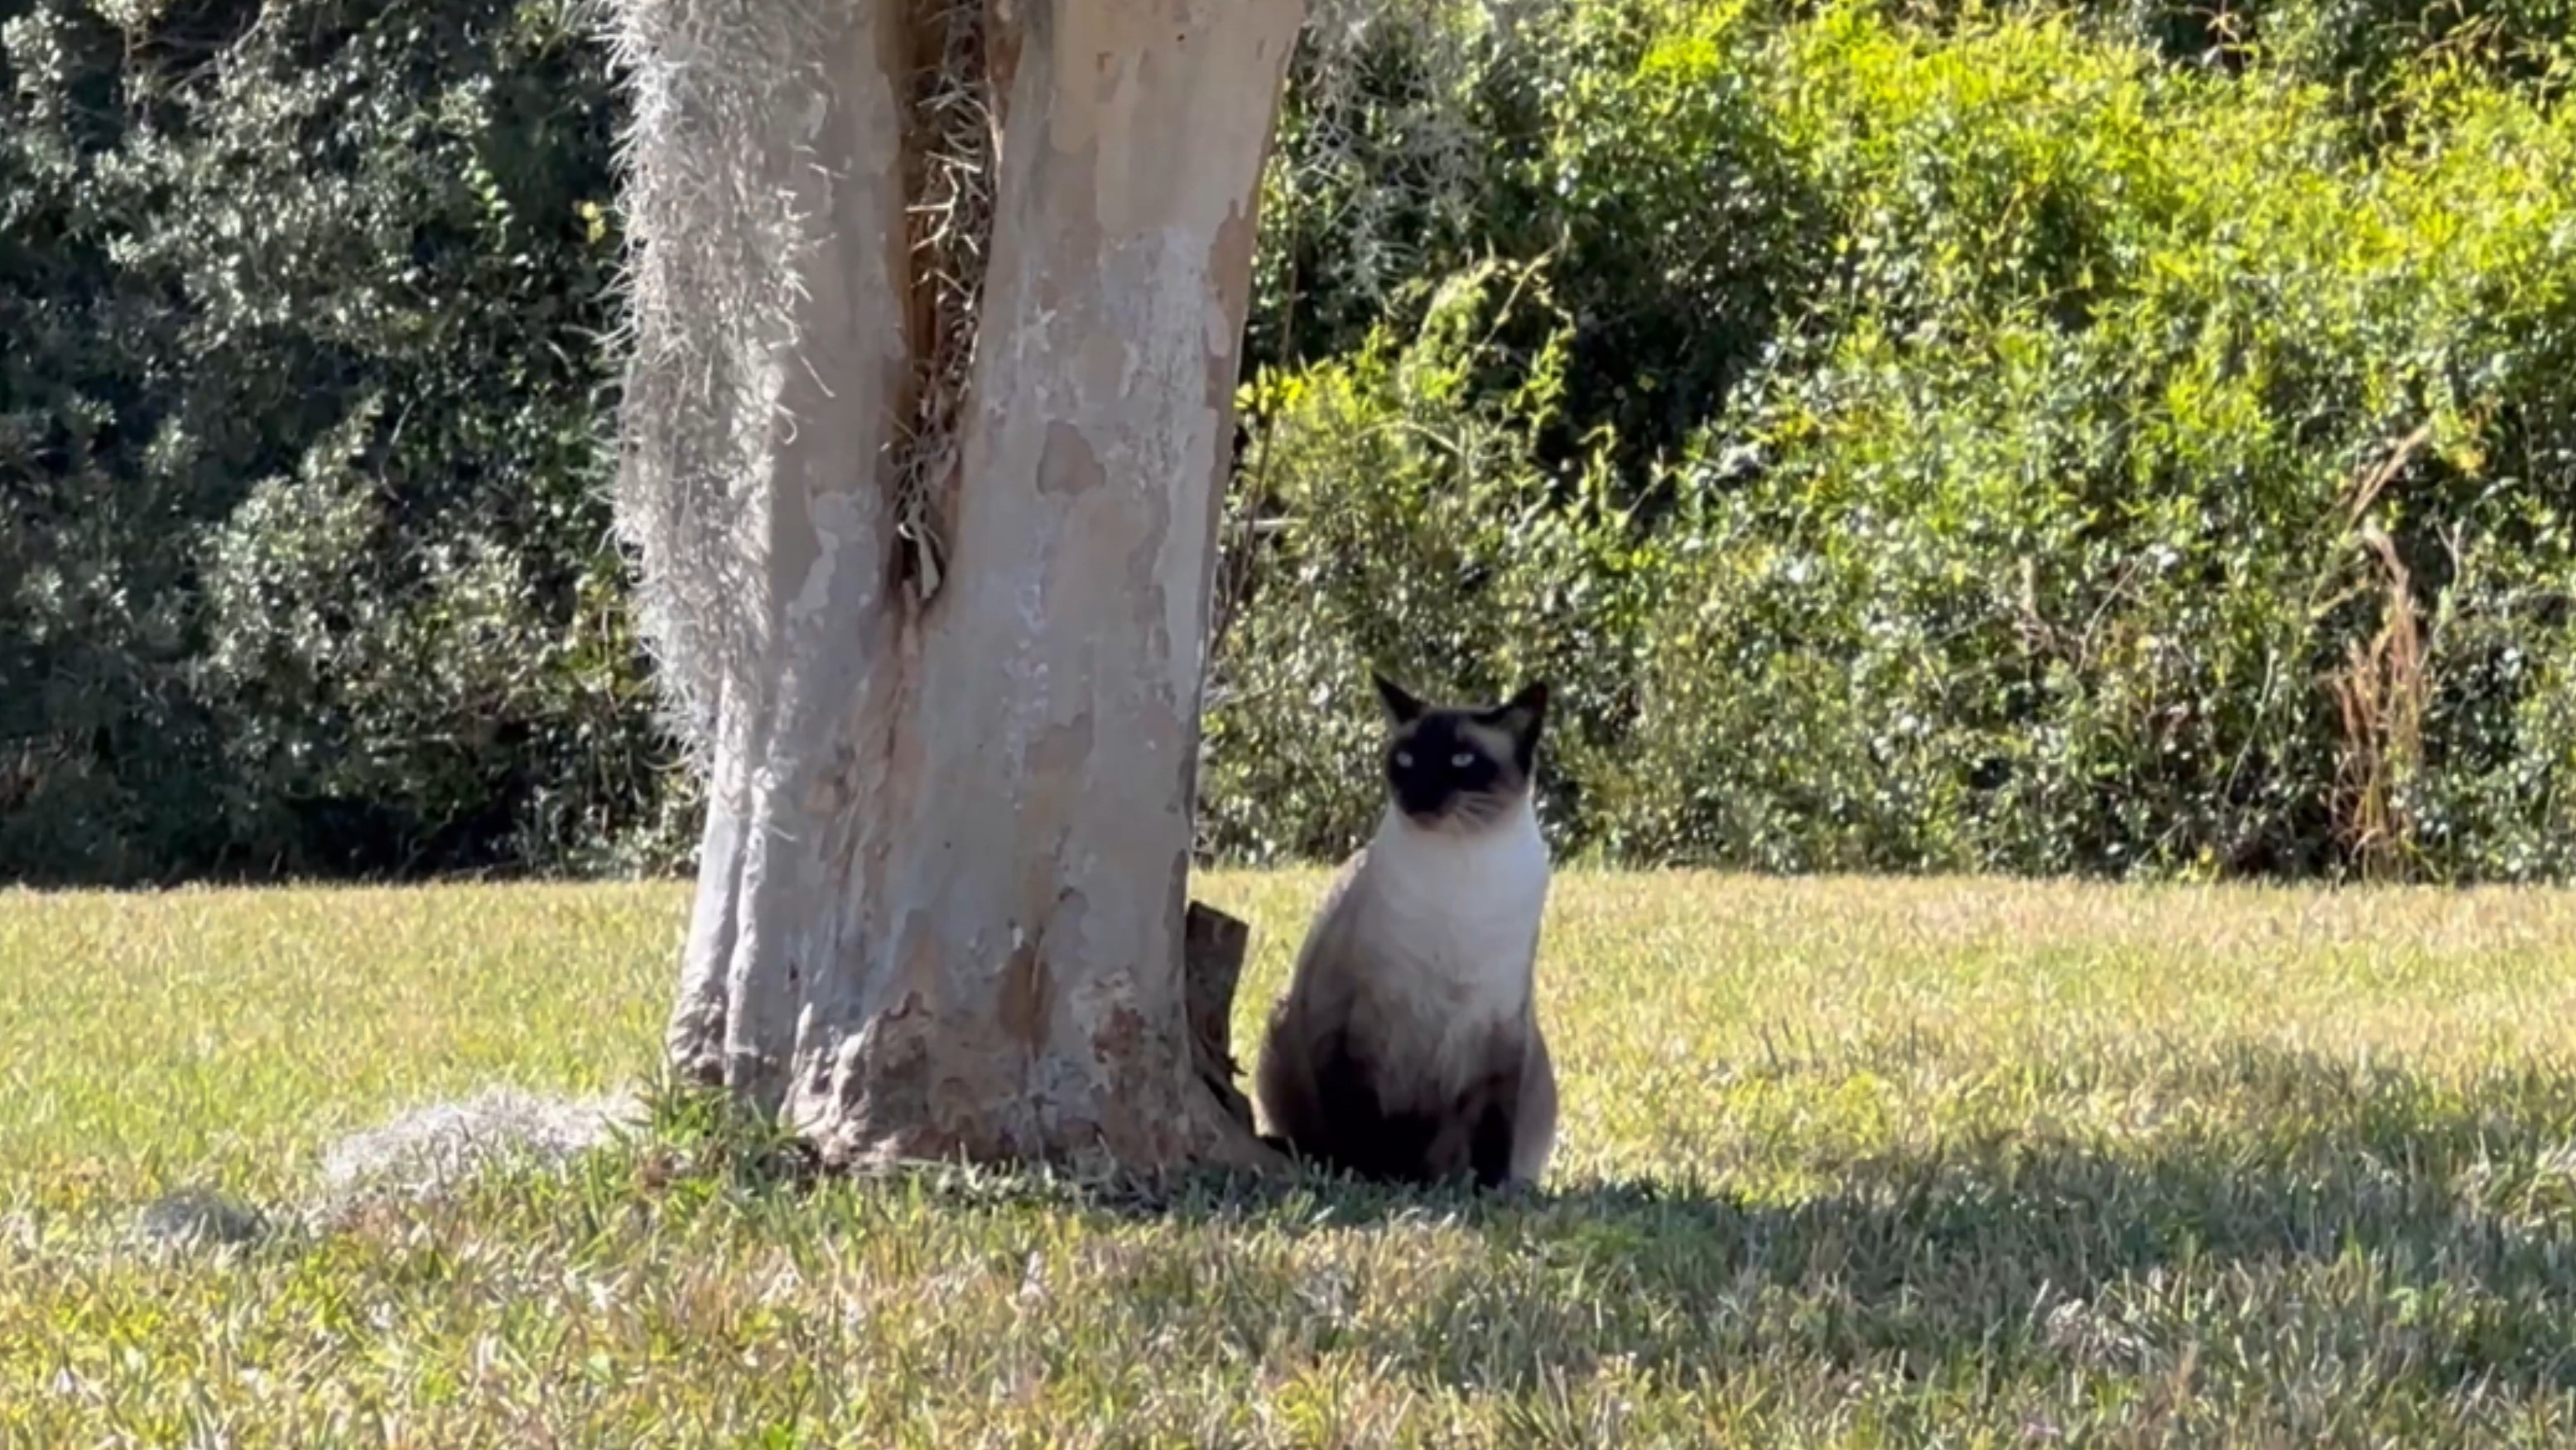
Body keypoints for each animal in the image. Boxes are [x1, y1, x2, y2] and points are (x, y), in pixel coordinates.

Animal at [1246, 669, 1545, 1189]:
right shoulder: (1353, 1024)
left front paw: (1491, 1190)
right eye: (1405, 760)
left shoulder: (1500, 1031)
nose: (1417, 795)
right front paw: (1372, 1178)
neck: (1459, 866)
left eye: (1461, 760)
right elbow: (1358, 1121)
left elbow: (1494, 1130)